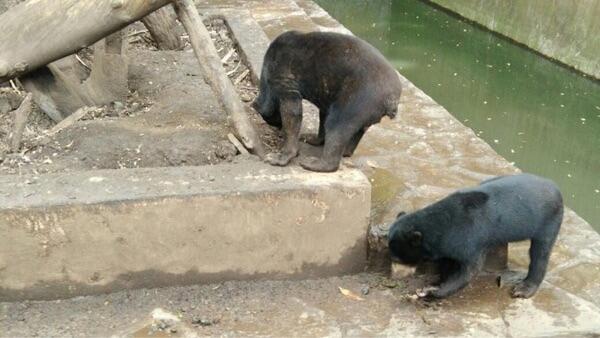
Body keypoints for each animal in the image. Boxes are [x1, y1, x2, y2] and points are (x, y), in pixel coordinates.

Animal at [251, 30, 400, 173]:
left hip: (357, 101)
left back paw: (314, 164)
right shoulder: (326, 96)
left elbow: (292, 114)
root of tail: (392, 99)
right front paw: (312, 139)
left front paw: (280, 157)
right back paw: (343, 151)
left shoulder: (284, 80)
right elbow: (323, 115)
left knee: (337, 126)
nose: (277, 128)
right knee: (357, 130)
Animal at [386, 174, 564, 298]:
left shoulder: (471, 237)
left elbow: (469, 269)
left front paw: (433, 291)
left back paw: (523, 289)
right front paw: (438, 281)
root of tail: (556, 188)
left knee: (540, 253)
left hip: (548, 221)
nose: (394, 269)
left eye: (397, 257)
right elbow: (448, 262)